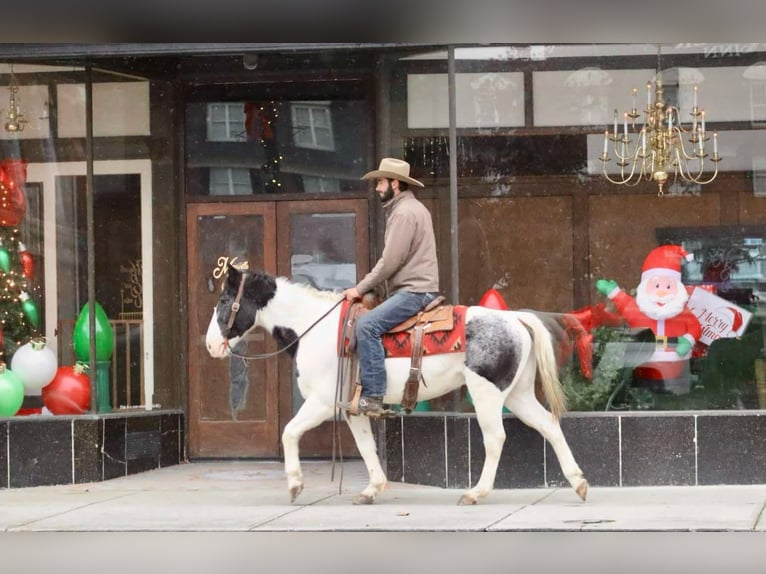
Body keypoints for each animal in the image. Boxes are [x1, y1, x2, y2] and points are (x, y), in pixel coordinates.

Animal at [204, 264, 588, 506]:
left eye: (223, 301)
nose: (210, 346)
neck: (316, 328)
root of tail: (516, 319)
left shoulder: (322, 402)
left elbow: (289, 432)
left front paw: (295, 484)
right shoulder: (352, 407)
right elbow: (366, 447)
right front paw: (372, 489)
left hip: (487, 394)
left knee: (495, 439)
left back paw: (475, 493)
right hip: (518, 394)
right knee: (549, 425)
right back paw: (579, 482)